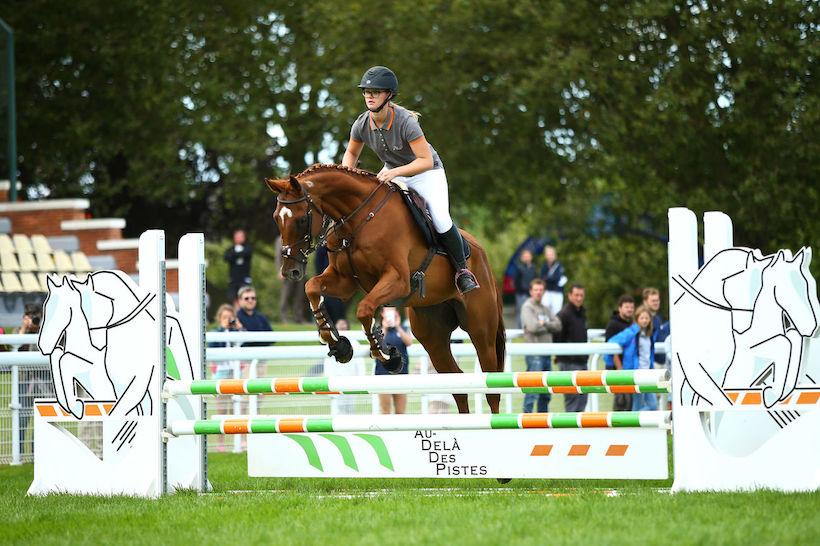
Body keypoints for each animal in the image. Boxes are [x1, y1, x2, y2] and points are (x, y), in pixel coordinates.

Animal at [38, 272, 194, 419]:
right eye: (46, 308)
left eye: (65, 309)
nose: (43, 346)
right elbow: (60, 358)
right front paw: (75, 406)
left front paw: (76, 406)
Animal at [266, 164, 506, 414]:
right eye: (276, 218)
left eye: (301, 219)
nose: (290, 271)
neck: (358, 218)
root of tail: (483, 255)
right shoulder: (344, 282)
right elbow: (312, 287)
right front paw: (335, 342)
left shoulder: (397, 280)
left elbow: (364, 309)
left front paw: (387, 356)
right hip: (433, 336)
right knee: (457, 382)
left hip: (481, 330)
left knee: (492, 386)